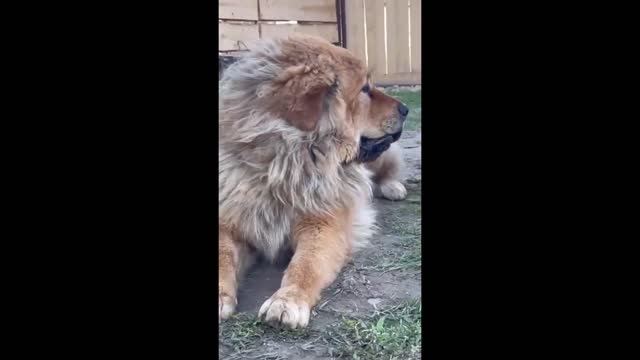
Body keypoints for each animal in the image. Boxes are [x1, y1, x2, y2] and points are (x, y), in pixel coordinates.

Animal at [219, 35, 410, 328]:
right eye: (365, 89)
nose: (406, 108)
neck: (283, 164)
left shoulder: (323, 225)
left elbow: (306, 264)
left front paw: (288, 301)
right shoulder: (229, 221)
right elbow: (223, 257)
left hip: (379, 161)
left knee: (388, 168)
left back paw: (393, 187)